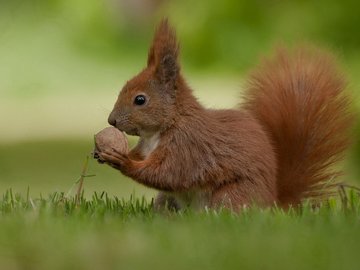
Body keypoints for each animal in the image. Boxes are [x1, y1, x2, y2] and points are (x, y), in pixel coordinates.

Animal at [97, 18, 352, 211]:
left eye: (140, 100)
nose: (112, 120)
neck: (161, 130)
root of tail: (273, 204)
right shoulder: (148, 146)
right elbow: (144, 159)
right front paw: (105, 153)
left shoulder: (188, 147)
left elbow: (167, 173)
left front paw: (123, 161)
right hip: (167, 200)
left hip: (231, 195)